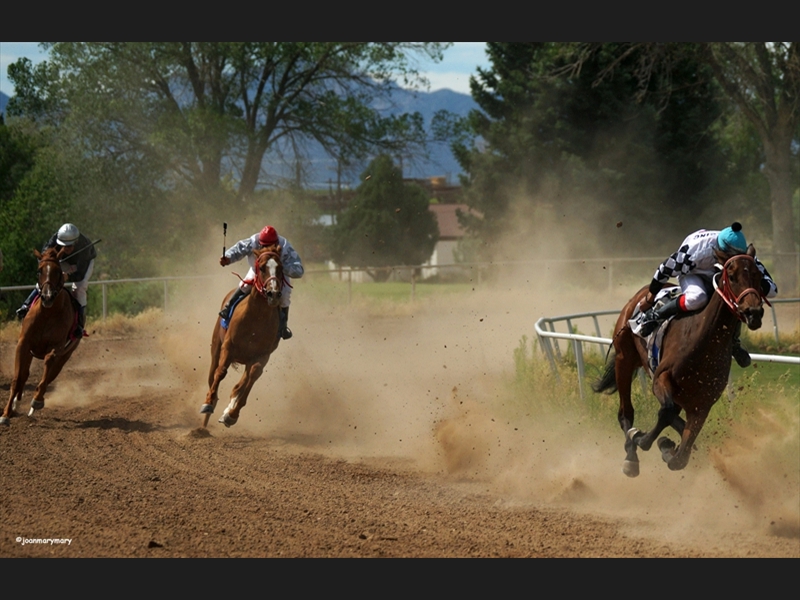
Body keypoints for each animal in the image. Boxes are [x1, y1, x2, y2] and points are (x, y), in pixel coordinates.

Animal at [0, 246, 82, 424]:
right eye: (39, 270)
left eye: (58, 271)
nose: (48, 296)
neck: (47, 314)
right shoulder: (23, 344)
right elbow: (17, 379)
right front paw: (6, 413)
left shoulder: (56, 348)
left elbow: (48, 367)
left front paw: (36, 401)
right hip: (30, 352)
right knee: (24, 375)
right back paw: (16, 404)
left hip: (66, 355)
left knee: (50, 375)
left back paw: (35, 403)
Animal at [200, 246, 284, 428]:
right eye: (262, 268)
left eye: (280, 268)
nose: (273, 294)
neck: (256, 318)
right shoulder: (228, 347)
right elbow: (221, 372)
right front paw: (209, 403)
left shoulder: (261, 356)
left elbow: (250, 379)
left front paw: (232, 414)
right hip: (216, 348)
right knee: (212, 375)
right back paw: (205, 417)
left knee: (241, 383)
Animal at [592, 246, 768, 476]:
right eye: (732, 276)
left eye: (758, 276)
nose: (753, 312)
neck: (703, 343)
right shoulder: (661, 378)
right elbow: (664, 413)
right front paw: (642, 438)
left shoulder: (703, 404)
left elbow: (680, 458)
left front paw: (667, 446)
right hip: (624, 359)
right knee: (626, 413)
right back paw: (631, 456)